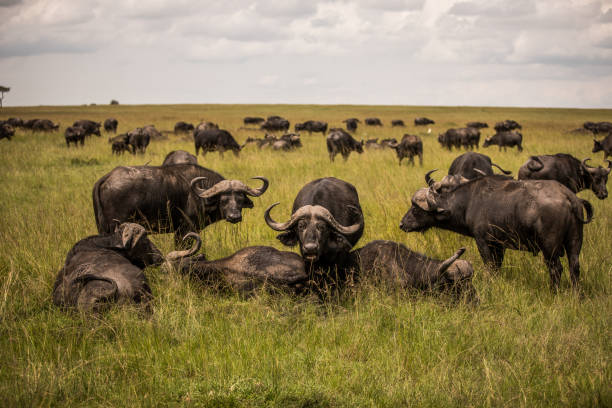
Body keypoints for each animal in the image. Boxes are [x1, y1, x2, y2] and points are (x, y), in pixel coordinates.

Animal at [92, 163, 268, 245]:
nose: (234, 216)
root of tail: (107, 177)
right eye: (223, 200)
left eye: (240, 199)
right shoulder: (184, 230)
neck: (200, 194)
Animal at [400, 171, 592, 288]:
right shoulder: (500, 245)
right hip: (575, 242)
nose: (402, 224)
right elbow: (498, 267)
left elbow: (490, 267)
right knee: (574, 268)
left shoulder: (484, 242)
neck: (468, 202)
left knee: (556, 269)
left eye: (416, 209)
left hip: (549, 247)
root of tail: (569, 197)